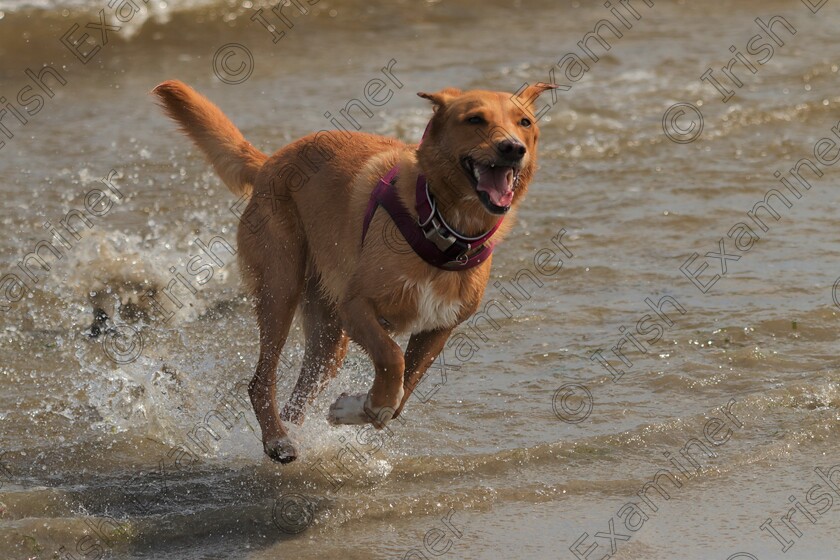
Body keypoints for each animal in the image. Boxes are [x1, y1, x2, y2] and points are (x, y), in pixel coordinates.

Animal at [153, 80, 556, 464]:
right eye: (475, 119)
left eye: (524, 122)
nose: (512, 148)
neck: (442, 226)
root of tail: (270, 161)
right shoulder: (357, 308)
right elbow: (392, 361)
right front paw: (364, 405)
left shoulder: (438, 328)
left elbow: (401, 395)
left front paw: (351, 409)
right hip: (281, 290)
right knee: (260, 381)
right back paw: (278, 442)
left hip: (329, 338)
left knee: (298, 396)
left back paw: (294, 434)